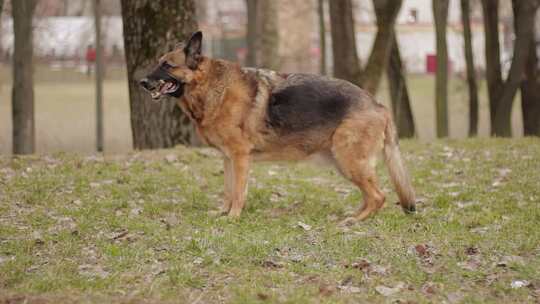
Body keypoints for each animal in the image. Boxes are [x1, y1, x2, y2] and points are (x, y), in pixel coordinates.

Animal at [140, 32, 418, 223]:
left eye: (167, 65)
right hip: (344, 162)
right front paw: (222, 212)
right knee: (370, 196)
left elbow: (238, 192)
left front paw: (233, 217)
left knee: (379, 196)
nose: (142, 82)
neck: (211, 87)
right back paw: (351, 216)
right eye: (158, 62)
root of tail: (378, 104)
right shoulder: (228, 159)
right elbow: (228, 190)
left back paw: (354, 221)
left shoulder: (240, 158)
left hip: (349, 160)